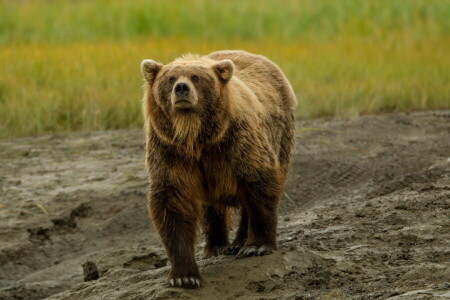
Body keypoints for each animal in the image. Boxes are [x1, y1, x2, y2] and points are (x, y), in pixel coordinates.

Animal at [140, 49, 296, 288]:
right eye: (170, 79)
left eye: (196, 77)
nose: (182, 88)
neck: (196, 136)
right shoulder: (170, 151)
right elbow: (172, 201)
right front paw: (184, 276)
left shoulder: (236, 140)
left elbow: (259, 180)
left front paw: (258, 245)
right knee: (211, 208)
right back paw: (216, 246)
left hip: (281, 133)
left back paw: (240, 242)